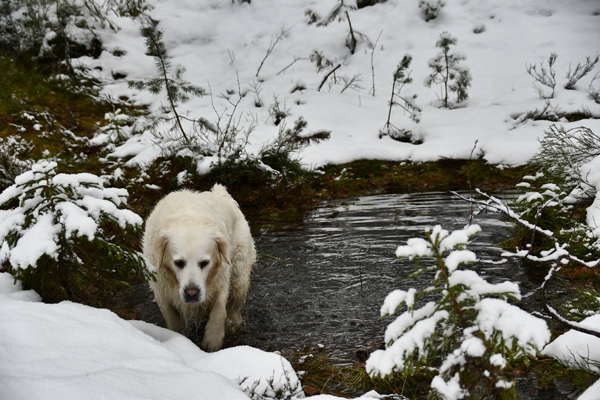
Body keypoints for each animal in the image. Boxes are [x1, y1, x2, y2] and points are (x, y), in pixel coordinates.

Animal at [143, 183, 255, 352]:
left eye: (204, 263)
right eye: (179, 262)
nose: (192, 293)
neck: (189, 221)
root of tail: (220, 193)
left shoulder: (220, 279)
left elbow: (219, 310)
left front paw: (213, 339)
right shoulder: (160, 286)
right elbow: (171, 316)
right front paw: (178, 338)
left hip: (238, 275)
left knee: (235, 307)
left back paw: (232, 324)